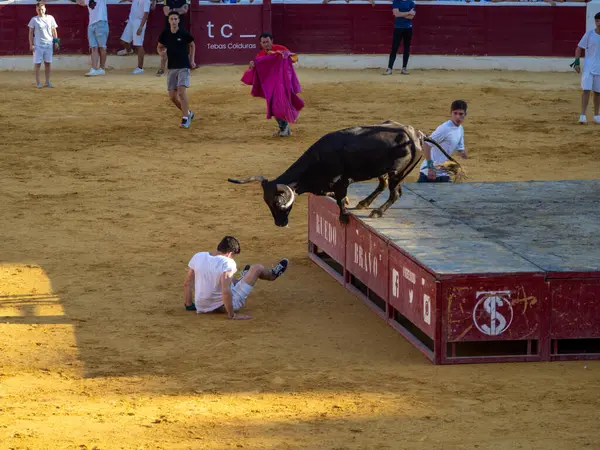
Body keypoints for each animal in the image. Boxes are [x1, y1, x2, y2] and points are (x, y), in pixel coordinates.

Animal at [227, 121, 462, 227]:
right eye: (267, 203)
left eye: (279, 202)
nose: (280, 223)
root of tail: (417, 134)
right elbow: (333, 195)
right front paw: (349, 202)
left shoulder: (342, 181)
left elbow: (340, 198)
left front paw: (343, 216)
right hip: (384, 171)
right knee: (383, 185)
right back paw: (364, 203)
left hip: (398, 171)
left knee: (395, 193)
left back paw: (376, 211)